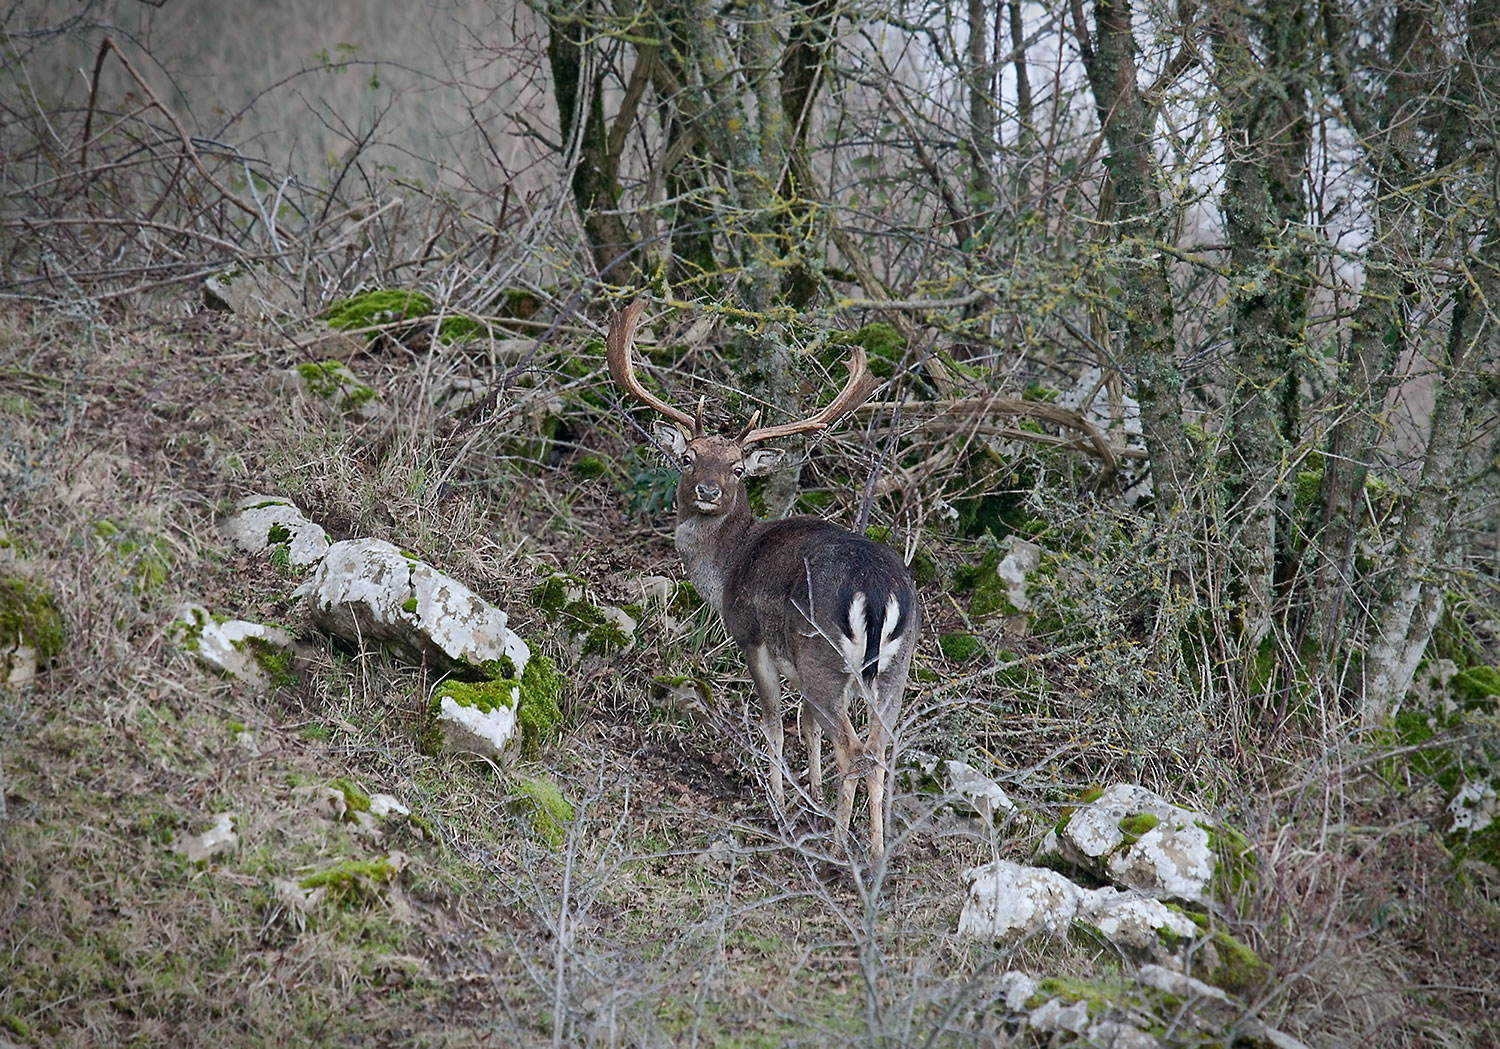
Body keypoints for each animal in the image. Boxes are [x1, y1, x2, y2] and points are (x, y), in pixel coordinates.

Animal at [607, 299, 919, 861]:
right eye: (688, 458)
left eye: (737, 468)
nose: (708, 490)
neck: (727, 569)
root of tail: (881, 594)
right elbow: (806, 726)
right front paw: (810, 792)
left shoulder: (751, 636)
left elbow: (774, 724)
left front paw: (778, 798)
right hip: (893, 669)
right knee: (880, 749)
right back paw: (877, 850)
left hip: (825, 654)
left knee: (854, 747)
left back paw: (838, 847)